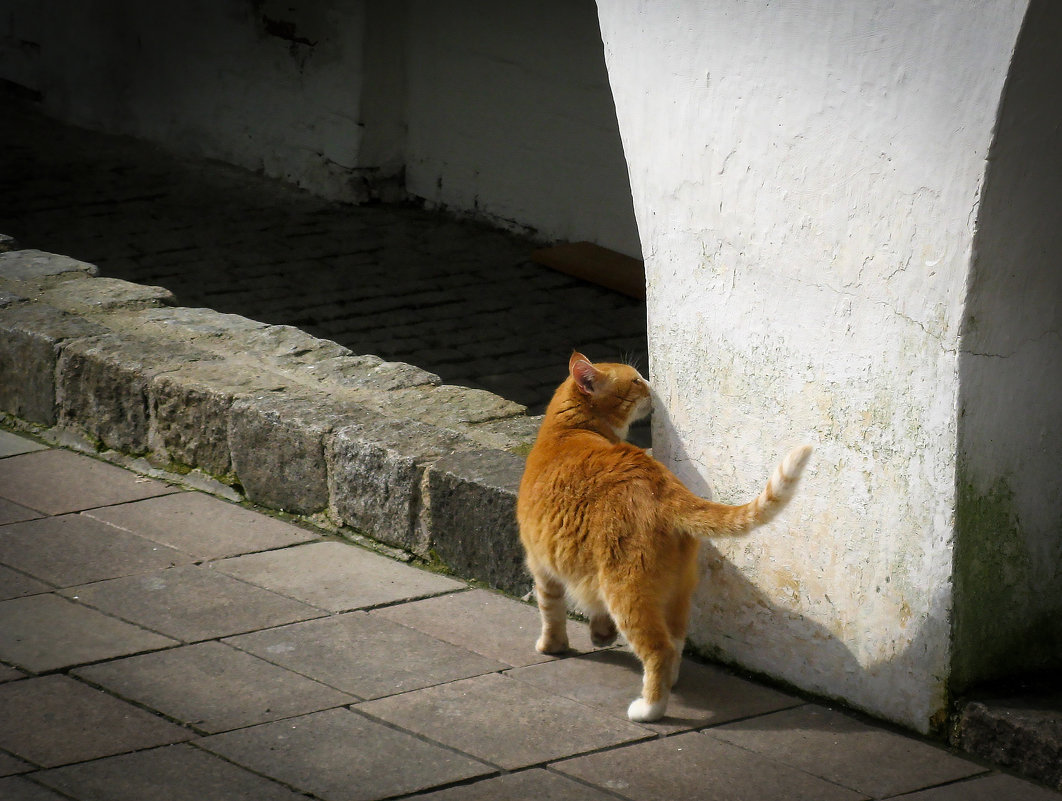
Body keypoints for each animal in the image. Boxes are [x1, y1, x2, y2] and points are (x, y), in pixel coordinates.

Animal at [518, 348, 807, 718]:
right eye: (635, 381)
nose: (651, 385)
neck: (566, 429)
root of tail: (667, 488)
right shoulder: (581, 565)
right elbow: (593, 608)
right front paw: (600, 635)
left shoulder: (541, 565)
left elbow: (550, 610)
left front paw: (551, 646)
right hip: (675, 591)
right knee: (676, 641)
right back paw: (669, 683)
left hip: (627, 593)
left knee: (660, 649)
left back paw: (649, 708)